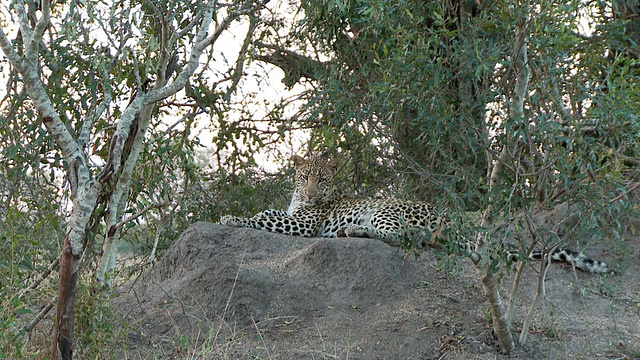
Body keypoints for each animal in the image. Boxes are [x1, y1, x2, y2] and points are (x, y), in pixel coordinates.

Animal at [220, 152, 608, 272]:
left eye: (322, 178)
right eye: (304, 177)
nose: (312, 193)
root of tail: (452, 219)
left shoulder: (303, 224)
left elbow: (263, 216)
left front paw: (229, 218)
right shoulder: (296, 215)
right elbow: (269, 210)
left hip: (385, 209)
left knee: (403, 236)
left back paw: (352, 231)